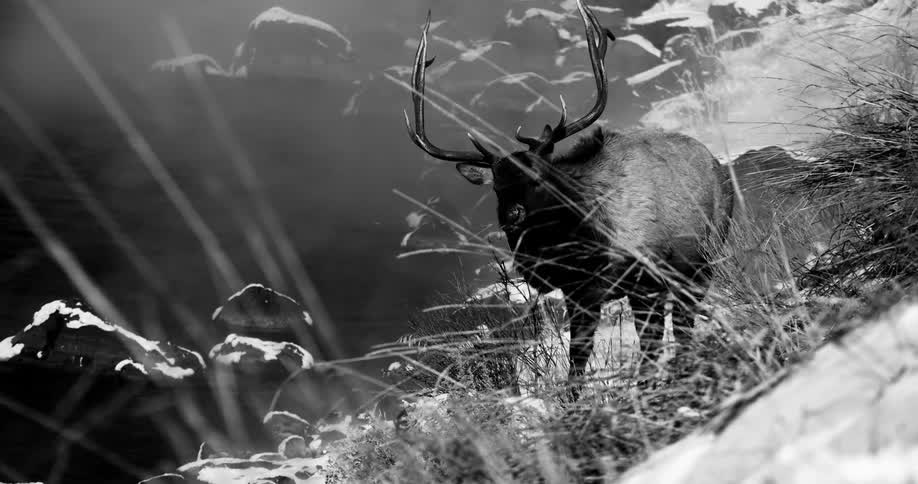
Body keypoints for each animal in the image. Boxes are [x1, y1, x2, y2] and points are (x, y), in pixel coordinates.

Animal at [403, 0, 734, 397]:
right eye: (497, 186)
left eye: (538, 176)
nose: (513, 215)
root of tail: (714, 160)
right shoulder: (584, 291)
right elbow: (586, 357)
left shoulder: (632, 279)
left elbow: (616, 348)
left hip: (703, 255)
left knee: (682, 321)